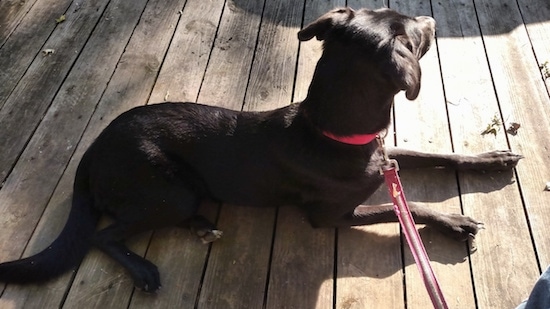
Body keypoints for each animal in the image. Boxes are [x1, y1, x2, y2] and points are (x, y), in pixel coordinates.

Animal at [0, 7, 520, 292]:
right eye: (412, 31)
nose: (431, 17)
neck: (331, 132)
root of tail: (92, 151)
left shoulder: (383, 152)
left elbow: (436, 155)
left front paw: (491, 160)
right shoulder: (332, 215)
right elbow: (405, 208)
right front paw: (454, 222)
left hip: (179, 193)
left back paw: (202, 227)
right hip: (167, 190)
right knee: (103, 236)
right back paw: (144, 269)